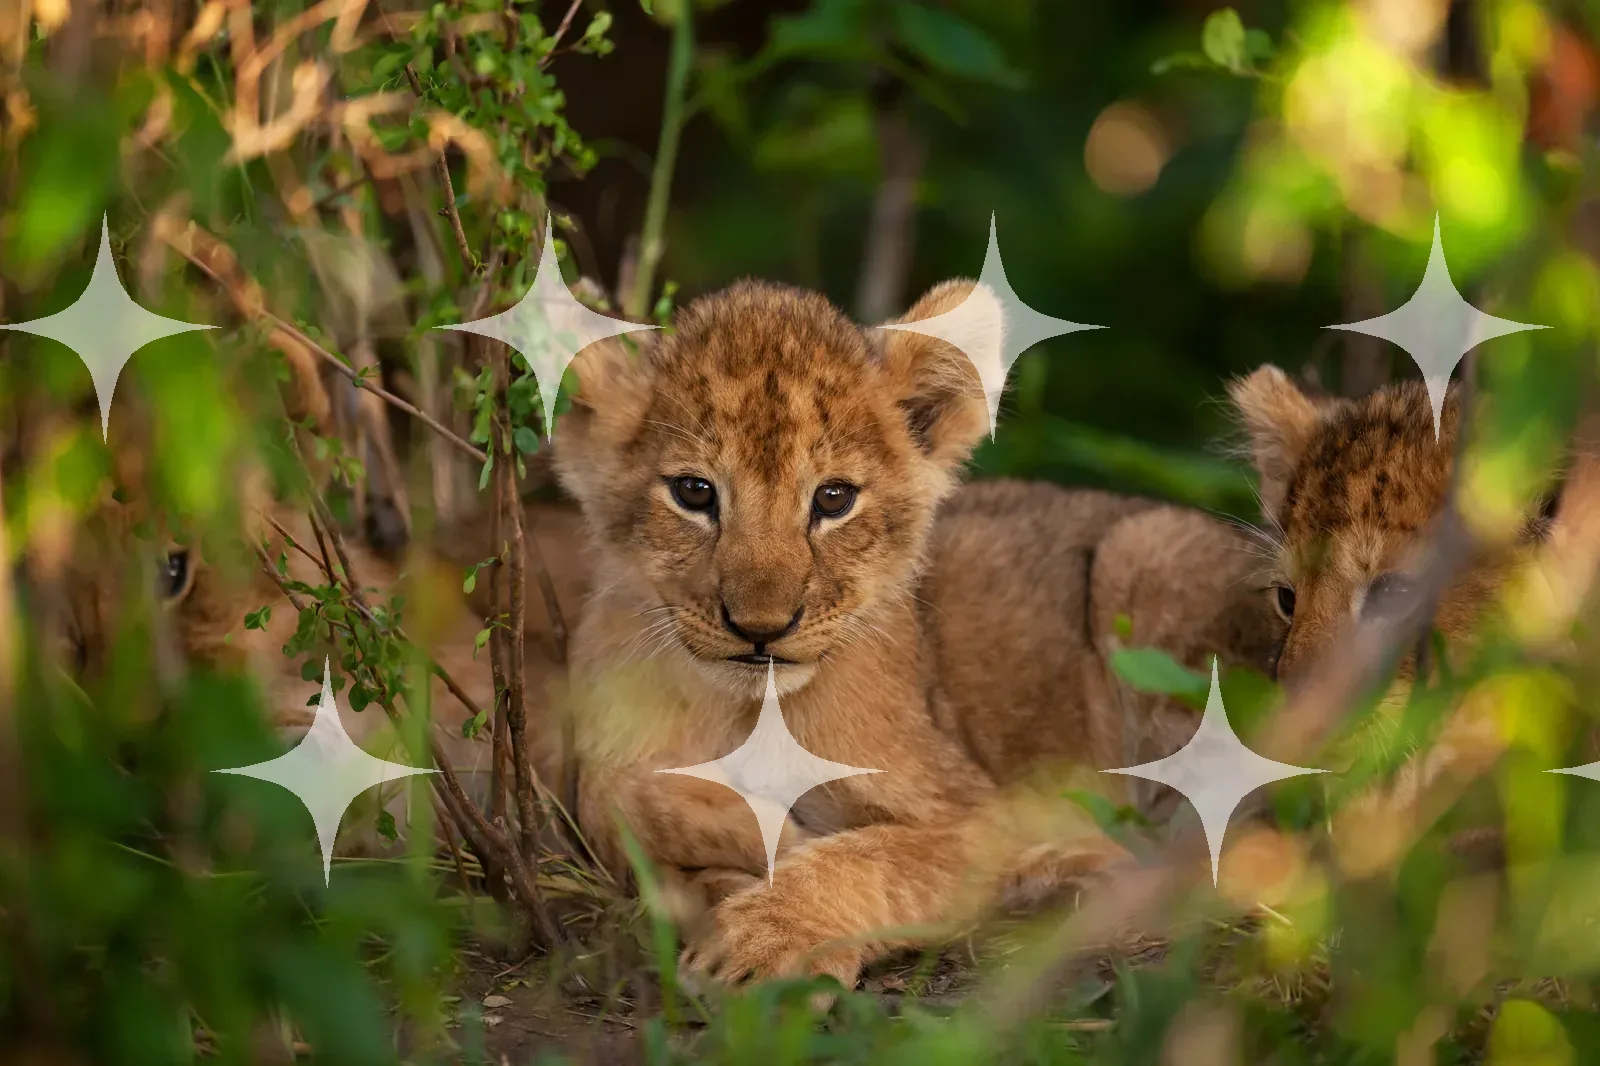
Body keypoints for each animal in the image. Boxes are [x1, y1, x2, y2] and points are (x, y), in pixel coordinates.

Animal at [551, 278, 1285, 987]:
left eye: (834, 499)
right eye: (695, 493)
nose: (761, 628)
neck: (747, 712)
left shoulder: (976, 811)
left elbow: (871, 860)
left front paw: (765, 938)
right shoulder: (607, 759)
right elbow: (616, 803)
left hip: (1142, 552)